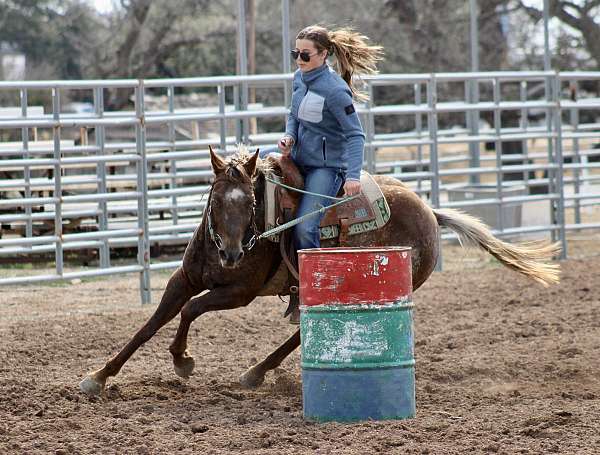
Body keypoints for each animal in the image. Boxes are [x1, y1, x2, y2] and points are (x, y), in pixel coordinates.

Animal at [77, 148, 560, 398]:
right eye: (216, 199)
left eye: (250, 203)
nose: (231, 254)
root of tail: (430, 212)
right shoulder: (184, 280)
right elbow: (150, 324)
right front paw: (99, 376)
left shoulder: (238, 292)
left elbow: (189, 313)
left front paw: (182, 359)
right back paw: (259, 370)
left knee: (299, 333)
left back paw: (256, 371)